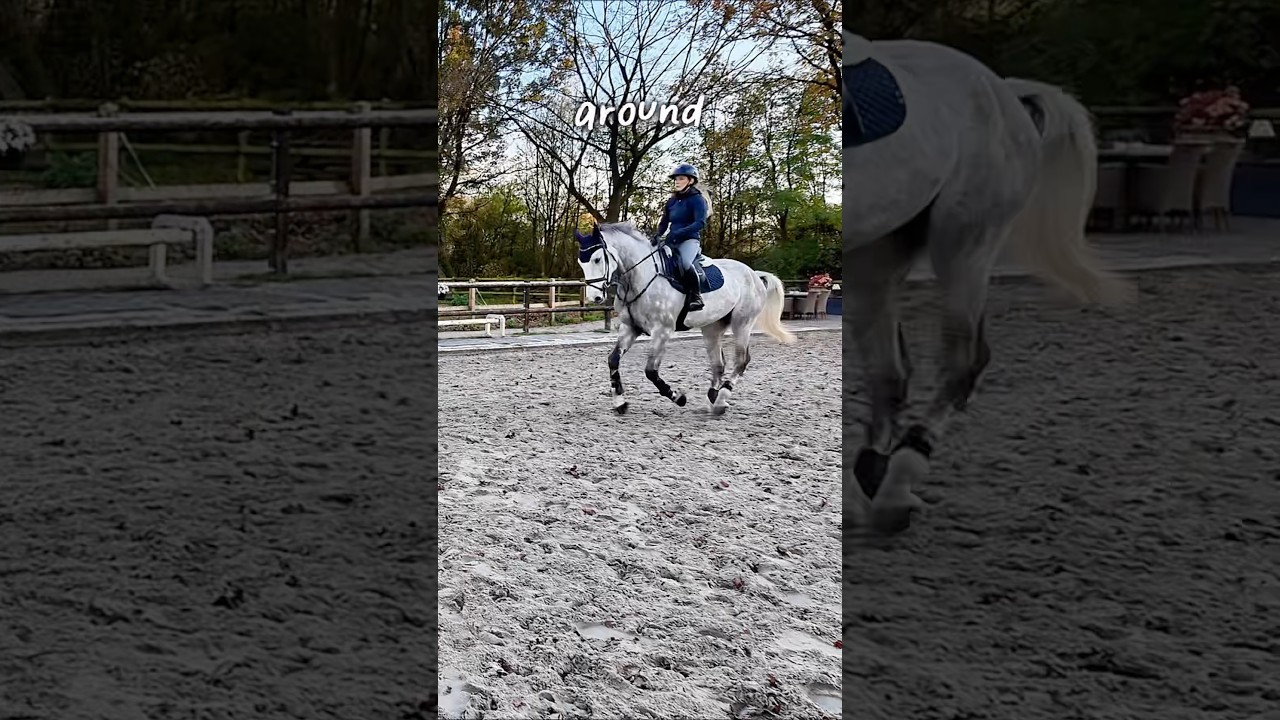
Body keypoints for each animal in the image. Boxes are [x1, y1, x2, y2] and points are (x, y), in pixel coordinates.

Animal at [573, 221, 796, 415]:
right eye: (581, 263)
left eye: (597, 259)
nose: (595, 298)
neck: (639, 278)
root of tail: (754, 274)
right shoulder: (630, 327)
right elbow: (613, 360)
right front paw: (620, 402)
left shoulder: (662, 331)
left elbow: (651, 371)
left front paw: (678, 397)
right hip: (712, 328)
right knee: (718, 364)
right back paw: (711, 401)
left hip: (742, 324)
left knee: (741, 360)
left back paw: (722, 398)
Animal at [842, 31, 1133, 534]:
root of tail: (1003, 89)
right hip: (875, 251)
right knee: (890, 376)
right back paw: (866, 491)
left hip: (965, 243)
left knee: (962, 363)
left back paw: (897, 485)